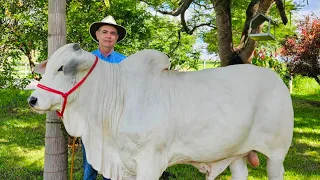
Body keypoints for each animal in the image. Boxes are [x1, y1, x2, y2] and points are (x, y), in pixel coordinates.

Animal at [28, 43, 294, 180]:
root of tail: (278, 81)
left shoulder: (150, 161)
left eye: (62, 68)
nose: (33, 99)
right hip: (236, 153)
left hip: (277, 154)